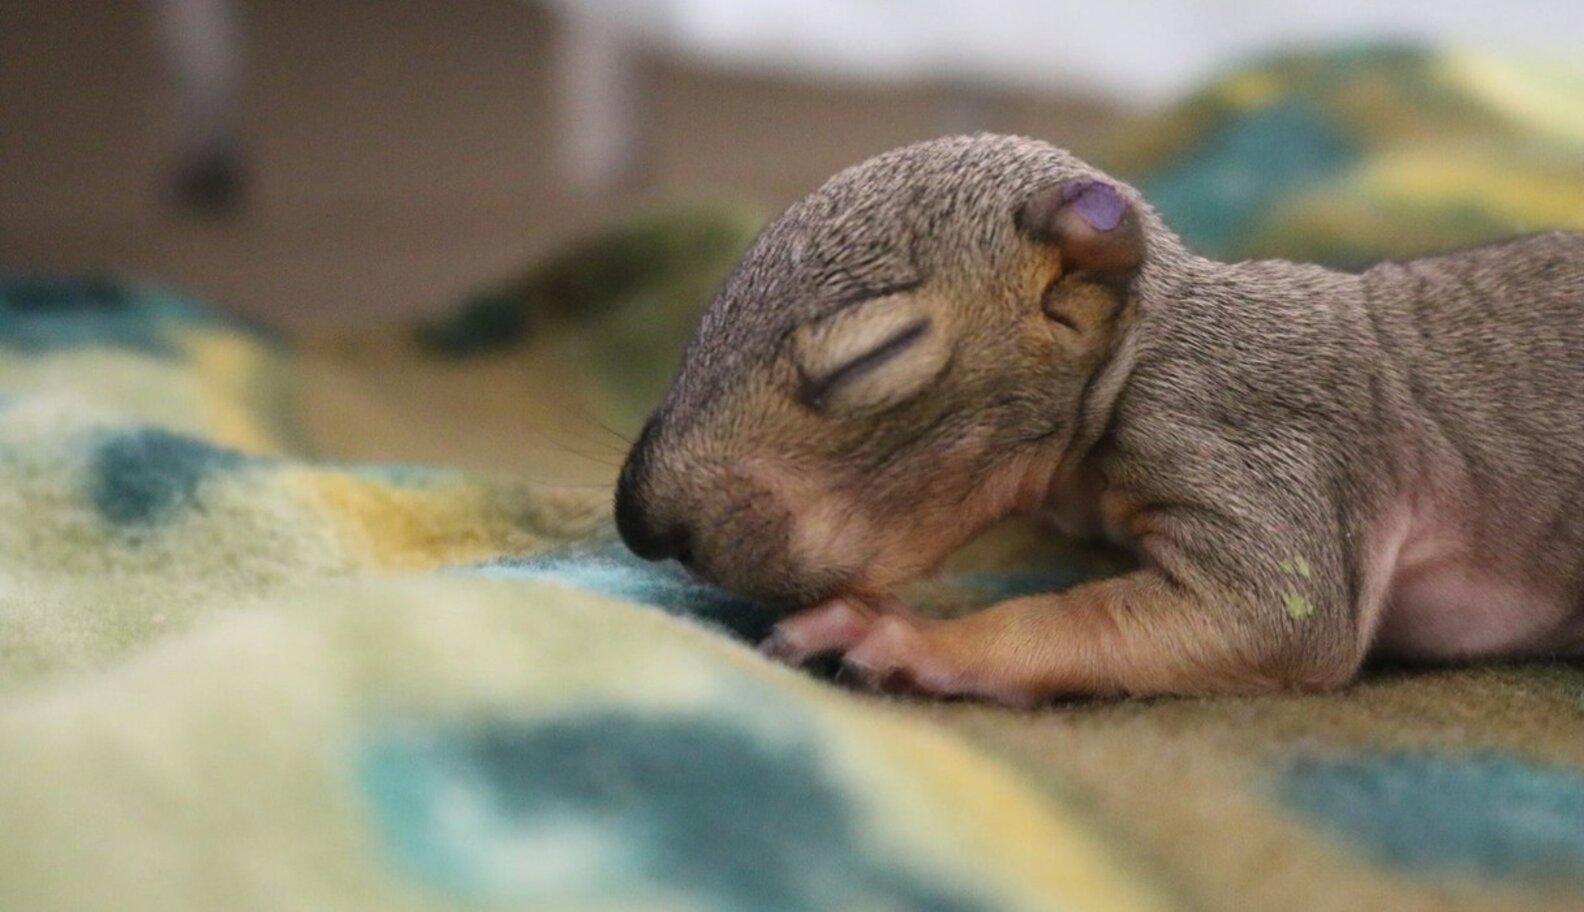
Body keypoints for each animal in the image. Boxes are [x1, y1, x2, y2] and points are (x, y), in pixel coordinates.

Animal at [613, 133, 1584, 706]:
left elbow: (1276, 613)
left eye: (871, 357)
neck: (1146, 349)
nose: (642, 522)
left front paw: (912, 638)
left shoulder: (1250, 432)